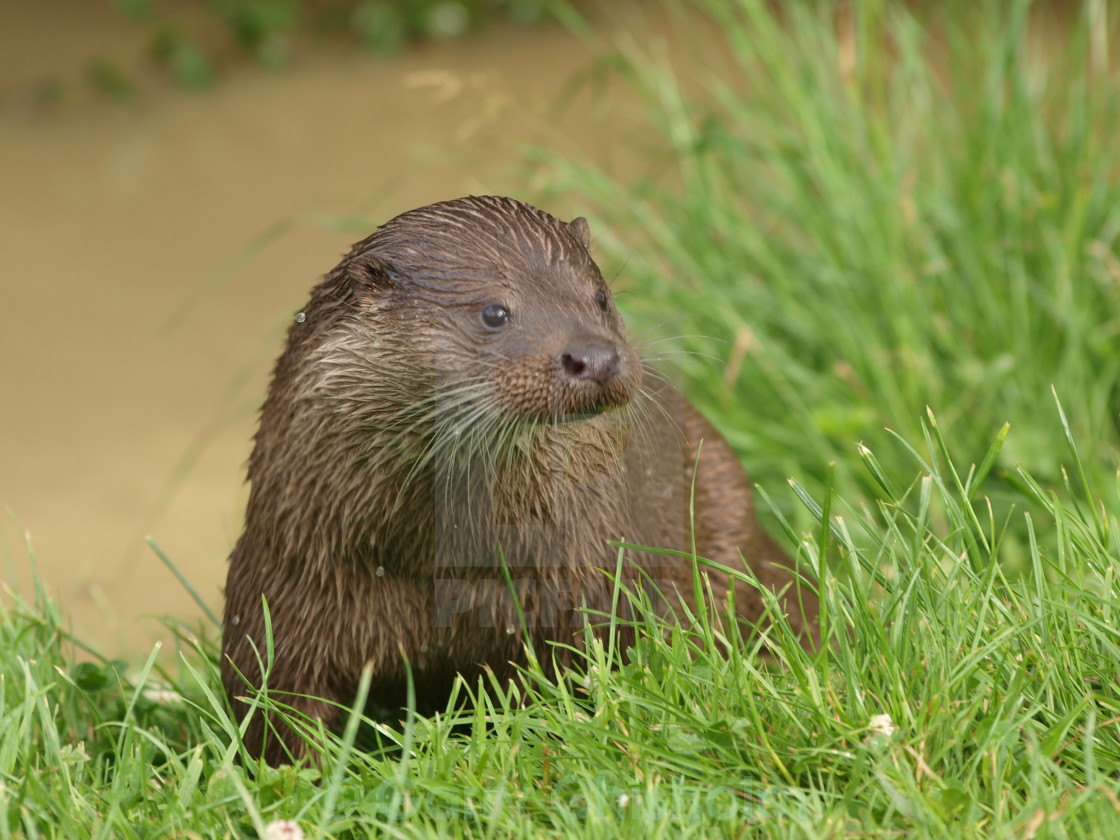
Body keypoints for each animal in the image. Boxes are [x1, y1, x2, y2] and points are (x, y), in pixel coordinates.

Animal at [220, 196, 815, 761]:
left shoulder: (572, 585)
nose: (596, 356)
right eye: (494, 311)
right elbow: (273, 712)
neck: (429, 564)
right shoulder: (281, 596)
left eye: (600, 297)